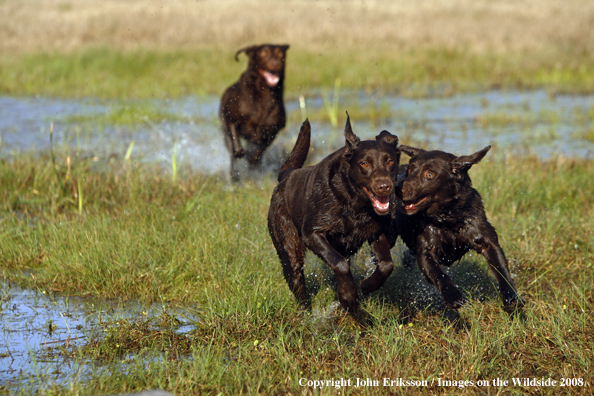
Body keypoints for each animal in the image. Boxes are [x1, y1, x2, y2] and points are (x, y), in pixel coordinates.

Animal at [220, 44, 290, 180]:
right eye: (263, 53)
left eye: (280, 54)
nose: (276, 63)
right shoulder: (231, 119)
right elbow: (236, 147)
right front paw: (240, 153)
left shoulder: (273, 129)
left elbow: (259, 150)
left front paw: (253, 159)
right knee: (232, 152)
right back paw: (234, 176)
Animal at [268, 116, 398, 314]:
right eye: (364, 163)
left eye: (390, 161)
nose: (384, 186)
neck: (354, 203)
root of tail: (285, 176)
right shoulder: (312, 233)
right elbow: (339, 263)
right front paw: (348, 297)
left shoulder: (376, 231)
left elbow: (386, 265)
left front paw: (367, 285)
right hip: (288, 246)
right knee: (296, 277)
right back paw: (306, 312)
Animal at [396, 145, 520, 312]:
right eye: (410, 170)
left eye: (430, 174)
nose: (397, 188)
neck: (448, 218)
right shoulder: (426, 251)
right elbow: (440, 275)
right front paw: (453, 296)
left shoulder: (486, 240)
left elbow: (502, 270)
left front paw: (511, 296)